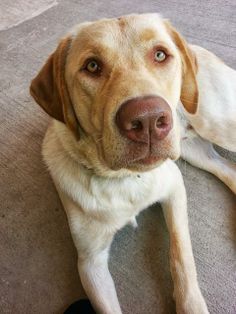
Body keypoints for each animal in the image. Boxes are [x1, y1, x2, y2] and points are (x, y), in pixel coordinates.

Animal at [29, 12, 234, 314]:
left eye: (160, 55)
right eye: (92, 66)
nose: (148, 120)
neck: (124, 179)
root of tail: (197, 48)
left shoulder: (174, 187)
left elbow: (180, 253)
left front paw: (191, 305)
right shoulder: (90, 263)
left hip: (217, 124)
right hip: (194, 152)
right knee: (230, 170)